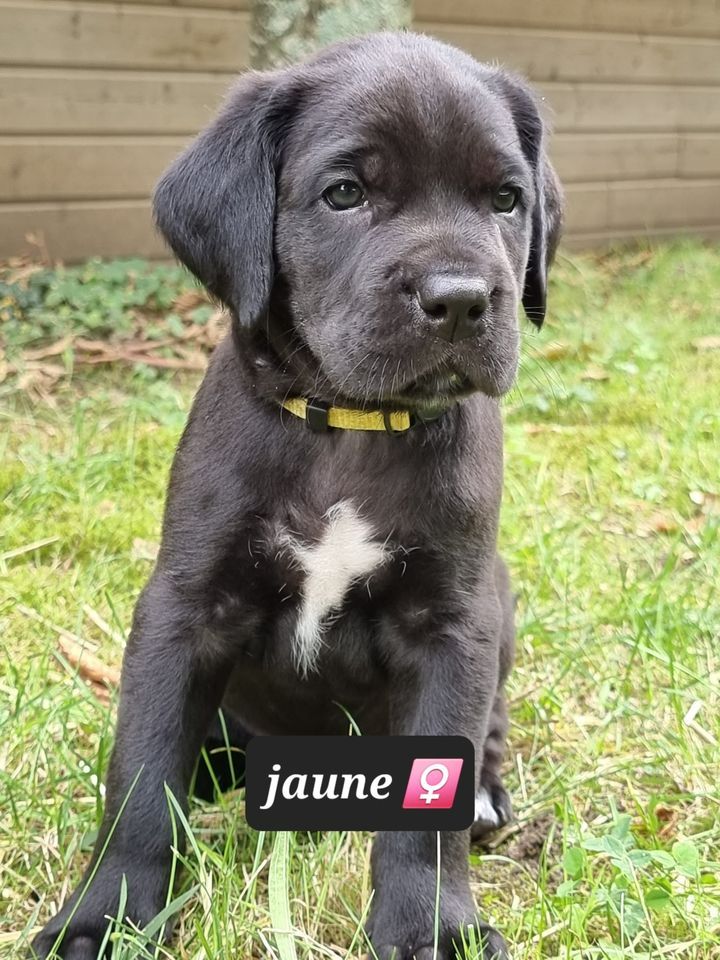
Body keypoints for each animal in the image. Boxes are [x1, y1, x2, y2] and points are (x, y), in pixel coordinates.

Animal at [32, 30, 564, 960]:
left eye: (507, 199)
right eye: (345, 193)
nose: (462, 300)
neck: (351, 424)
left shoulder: (451, 623)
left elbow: (432, 803)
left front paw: (431, 927)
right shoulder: (184, 607)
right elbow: (141, 776)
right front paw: (106, 918)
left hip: (497, 600)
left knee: (489, 731)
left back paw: (489, 799)